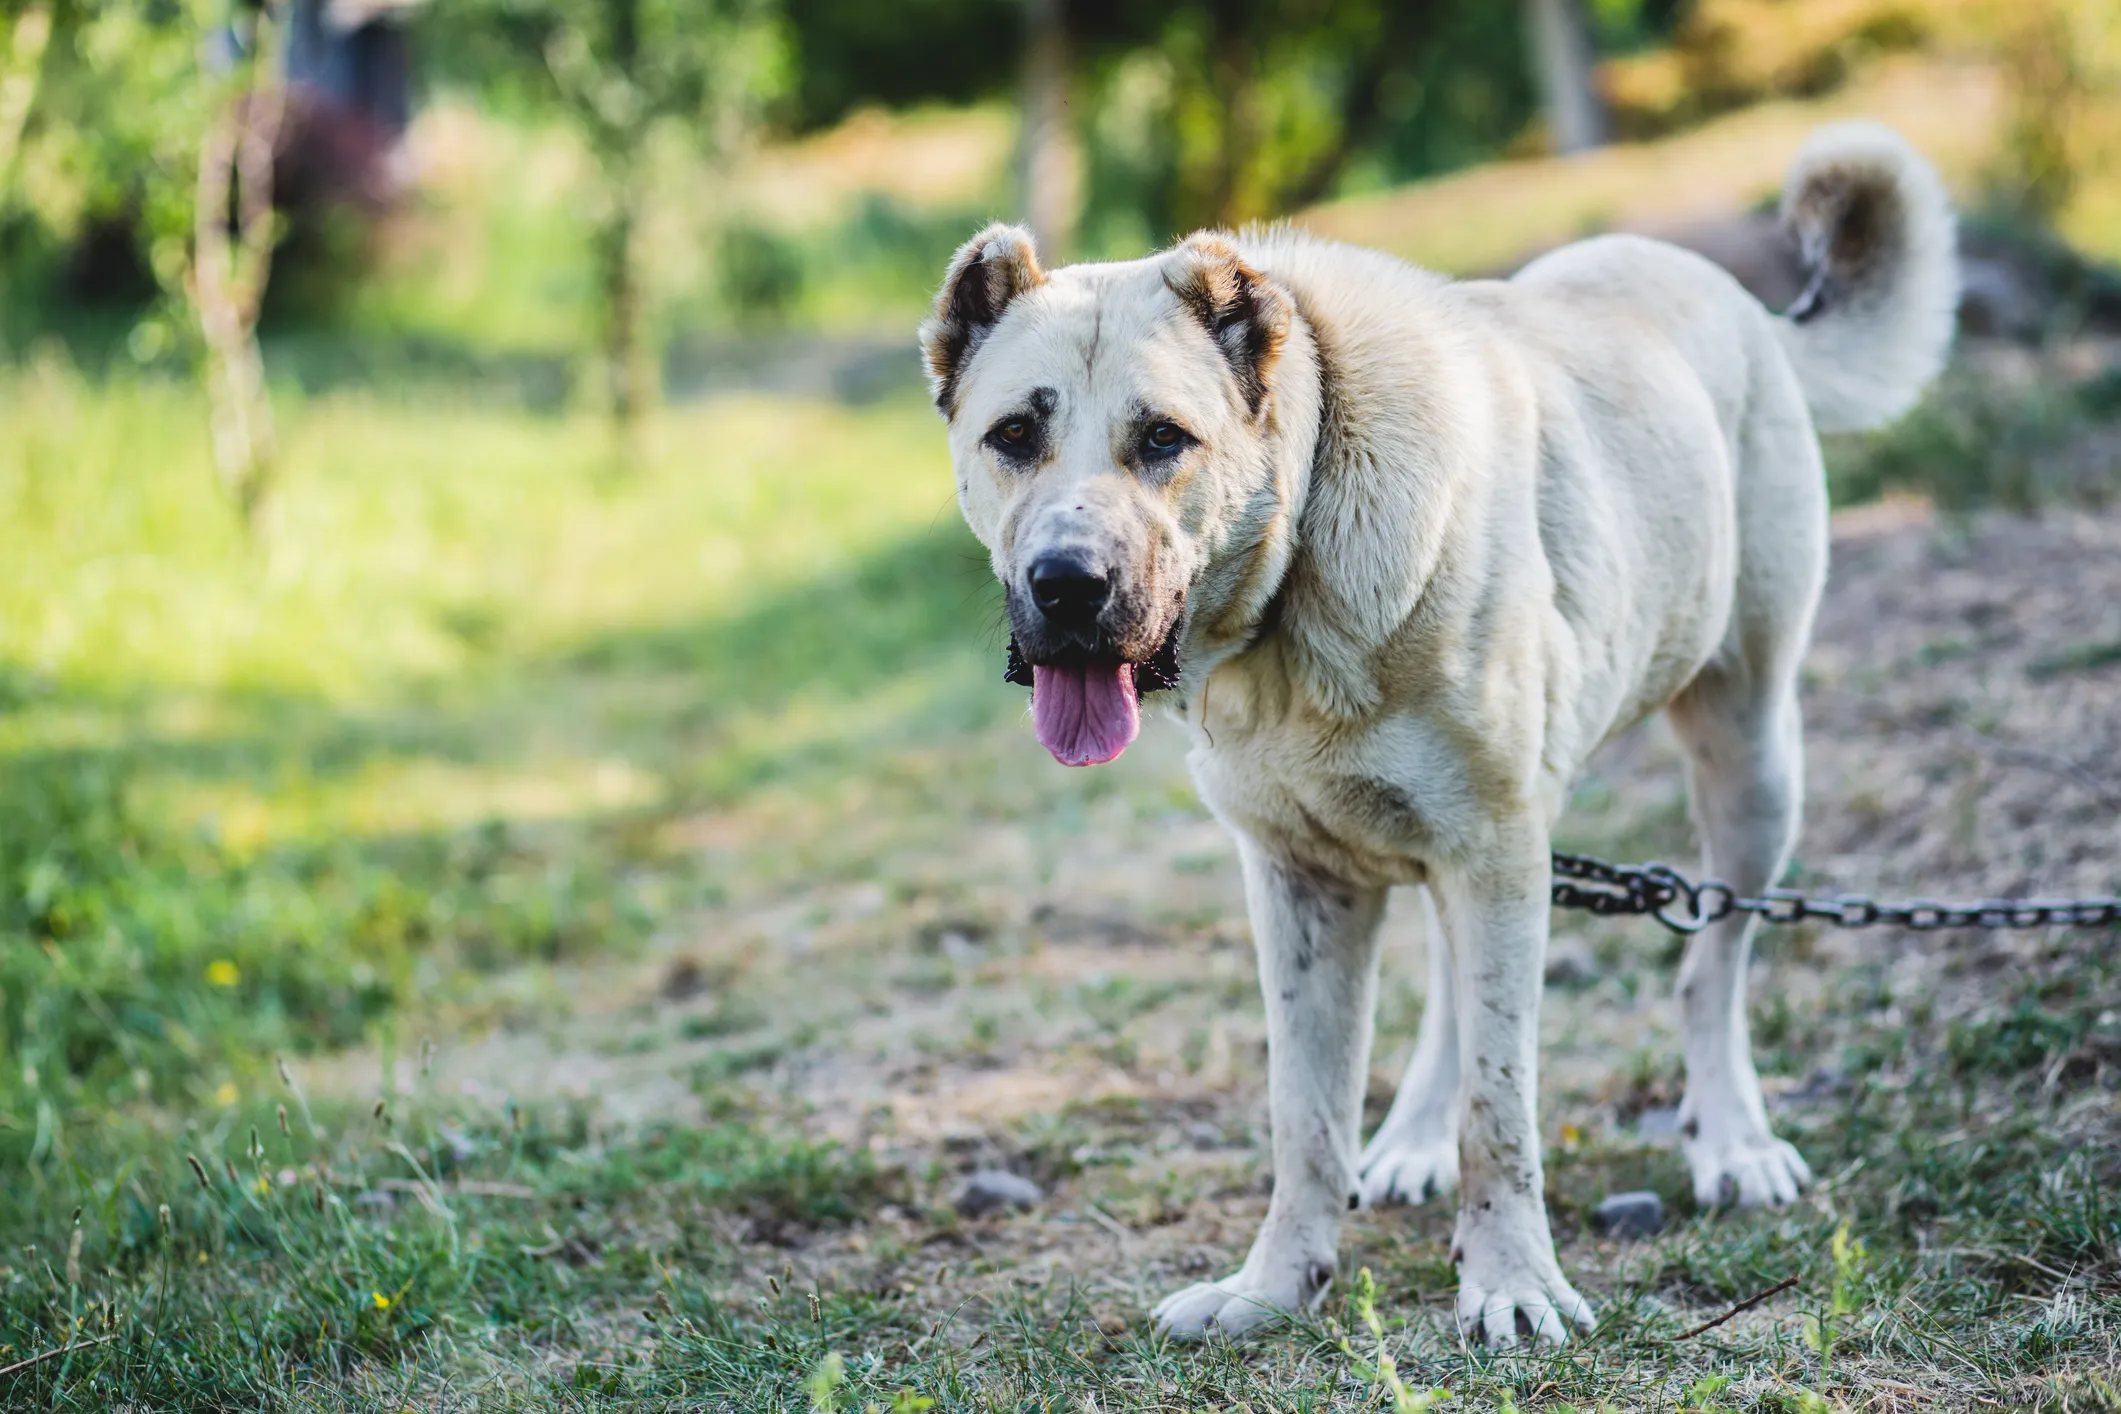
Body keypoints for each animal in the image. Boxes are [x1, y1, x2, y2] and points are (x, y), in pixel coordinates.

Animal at [920, 127, 1959, 1348]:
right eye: (1014, 436)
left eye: (1164, 438)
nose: (1068, 585)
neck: (1297, 573)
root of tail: (1744, 304)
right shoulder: (1305, 881)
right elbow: (1306, 1114)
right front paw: (1272, 1286)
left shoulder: (1497, 850)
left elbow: (1498, 1106)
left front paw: (1512, 1283)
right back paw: (1411, 1140)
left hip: (1748, 759)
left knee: (1712, 965)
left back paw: (1735, 1143)